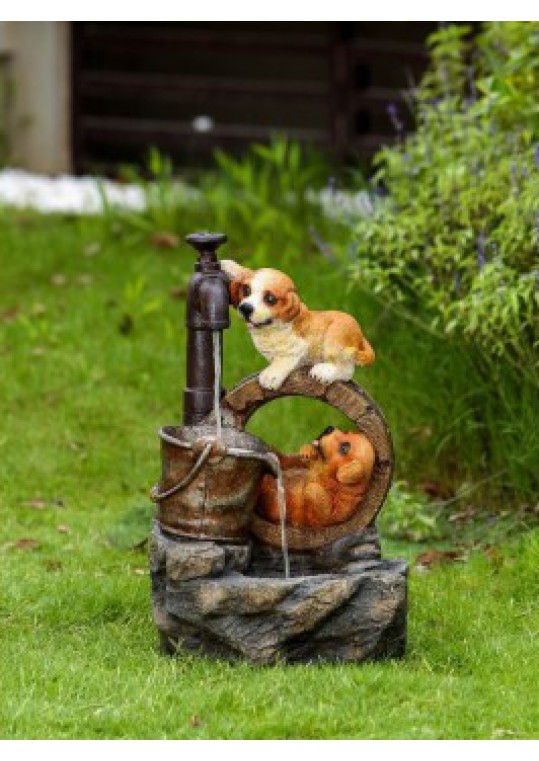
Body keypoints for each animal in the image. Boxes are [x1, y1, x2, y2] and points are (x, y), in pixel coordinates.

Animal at [221, 262, 374, 392]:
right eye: (246, 290)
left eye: (270, 299)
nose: (245, 308)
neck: (269, 329)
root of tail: (360, 335)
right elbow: (245, 270)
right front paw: (227, 266)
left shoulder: (298, 347)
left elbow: (284, 358)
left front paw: (271, 376)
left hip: (334, 337)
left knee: (347, 370)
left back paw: (323, 372)